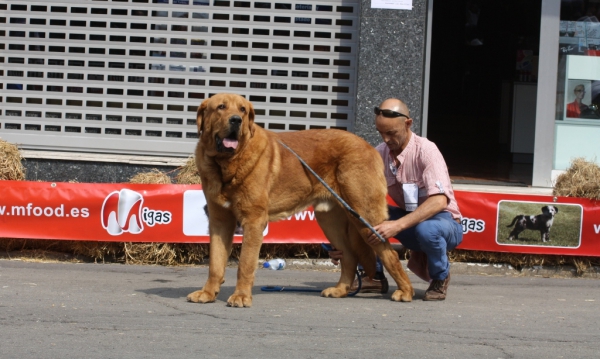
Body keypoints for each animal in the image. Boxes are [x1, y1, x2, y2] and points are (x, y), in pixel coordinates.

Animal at [188, 93, 412, 310]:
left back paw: (405, 292)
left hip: (365, 216)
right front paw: (208, 293)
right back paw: (340, 290)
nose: (236, 120)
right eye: (221, 107)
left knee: (389, 254)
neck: (226, 164)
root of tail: (369, 146)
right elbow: (215, 263)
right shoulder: (220, 222)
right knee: (349, 256)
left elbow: (245, 263)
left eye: (242, 109)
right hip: (330, 220)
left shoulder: (253, 221)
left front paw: (241, 296)